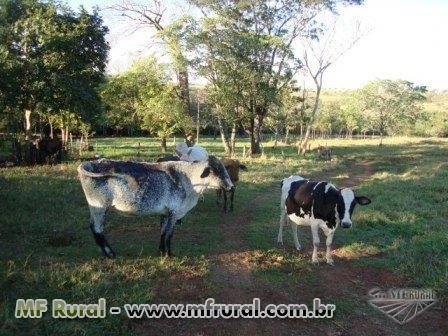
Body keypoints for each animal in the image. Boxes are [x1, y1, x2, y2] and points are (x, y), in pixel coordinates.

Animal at [77, 156, 233, 258]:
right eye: (216, 171)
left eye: (224, 169)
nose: (231, 187)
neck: (187, 179)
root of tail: (87, 164)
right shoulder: (174, 212)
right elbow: (169, 234)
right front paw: (169, 254)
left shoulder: (165, 213)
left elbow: (163, 232)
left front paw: (161, 252)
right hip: (98, 206)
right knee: (97, 229)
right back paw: (110, 254)